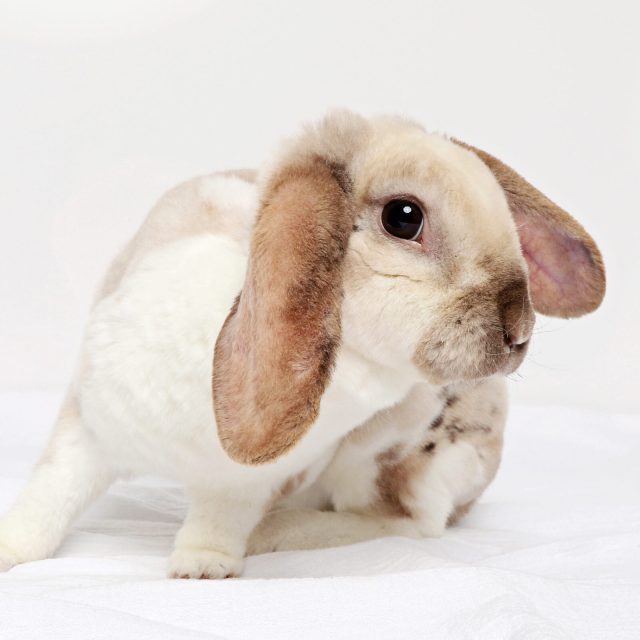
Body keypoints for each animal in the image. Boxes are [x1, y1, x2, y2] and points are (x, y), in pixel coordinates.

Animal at [0, 110, 605, 578]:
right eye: (403, 217)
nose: (519, 331)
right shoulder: (88, 421)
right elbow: (49, 494)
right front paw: (10, 550)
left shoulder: (251, 479)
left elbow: (220, 516)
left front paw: (202, 565)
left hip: (395, 456)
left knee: (410, 520)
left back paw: (281, 530)